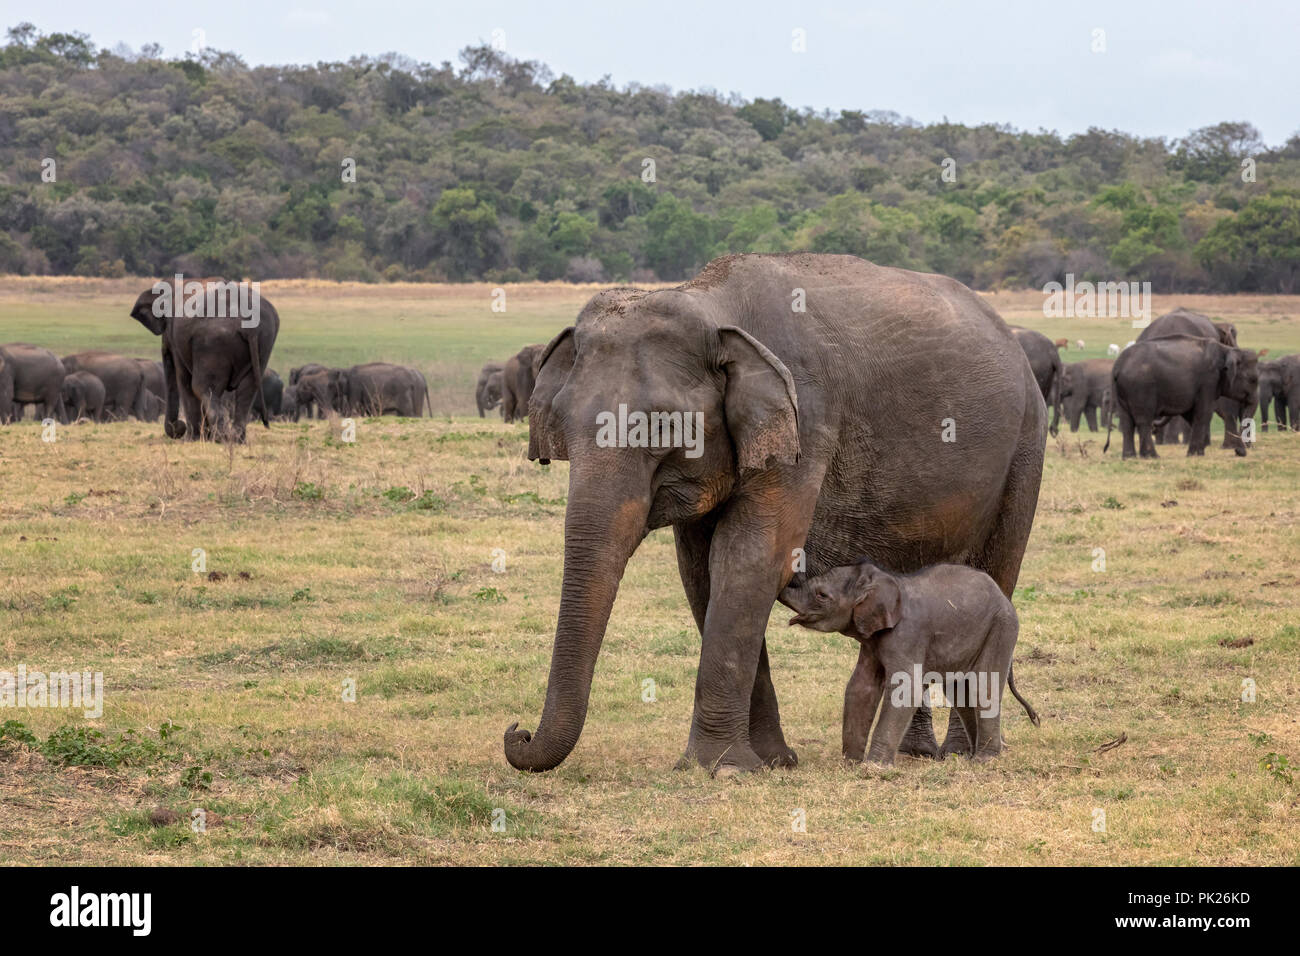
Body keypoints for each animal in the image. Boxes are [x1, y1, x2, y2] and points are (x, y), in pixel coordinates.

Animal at [129, 274, 279, 442]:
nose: (179, 427)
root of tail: (249, 325)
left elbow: (184, 381)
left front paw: (192, 439)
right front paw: (203, 437)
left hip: (213, 342)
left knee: (202, 387)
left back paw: (221, 438)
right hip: (264, 341)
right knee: (247, 389)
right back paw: (236, 439)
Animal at [774, 564, 1040, 764]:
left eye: (822, 595)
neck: (882, 581)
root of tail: (1003, 596)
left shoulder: (907, 634)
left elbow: (905, 689)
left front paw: (874, 767)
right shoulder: (872, 640)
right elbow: (861, 687)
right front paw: (850, 764)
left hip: (1001, 627)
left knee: (984, 685)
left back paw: (984, 760)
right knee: (960, 690)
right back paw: (972, 757)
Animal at [1107, 335, 1258, 457]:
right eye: (1253, 380)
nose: (1240, 452)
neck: (1227, 349)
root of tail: (1118, 365)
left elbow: (1191, 415)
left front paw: (1198, 452)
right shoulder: (1208, 381)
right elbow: (1203, 413)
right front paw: (1195, 455)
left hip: (1123, 391)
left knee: (1126, 421)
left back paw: (1129, 457)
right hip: (1141, 387)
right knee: (1143, 420)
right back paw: (1152, 456)